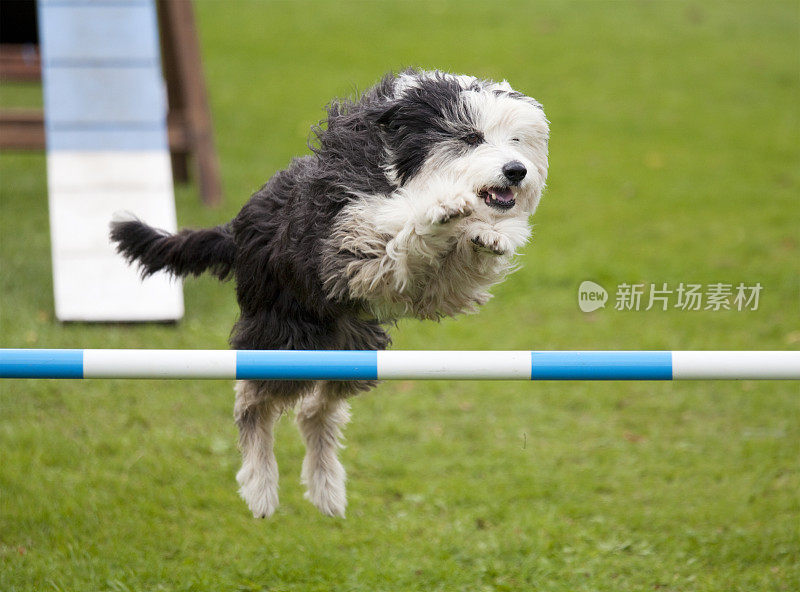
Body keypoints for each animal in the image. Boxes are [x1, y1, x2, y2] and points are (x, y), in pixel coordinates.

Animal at [109, 68, 552, 520]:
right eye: (469, 137)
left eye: (516, 139)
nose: (517, 171)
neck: (395, 169)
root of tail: (235, 231)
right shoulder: (351, 245)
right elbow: (400, 227)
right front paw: (440, 210)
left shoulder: (438, 288)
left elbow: (461, 261)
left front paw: (492, 233)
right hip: (285, 337)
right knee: (251, 402)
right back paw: (261, 488)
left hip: (352, 349)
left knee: (313, 411)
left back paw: (326, 490)